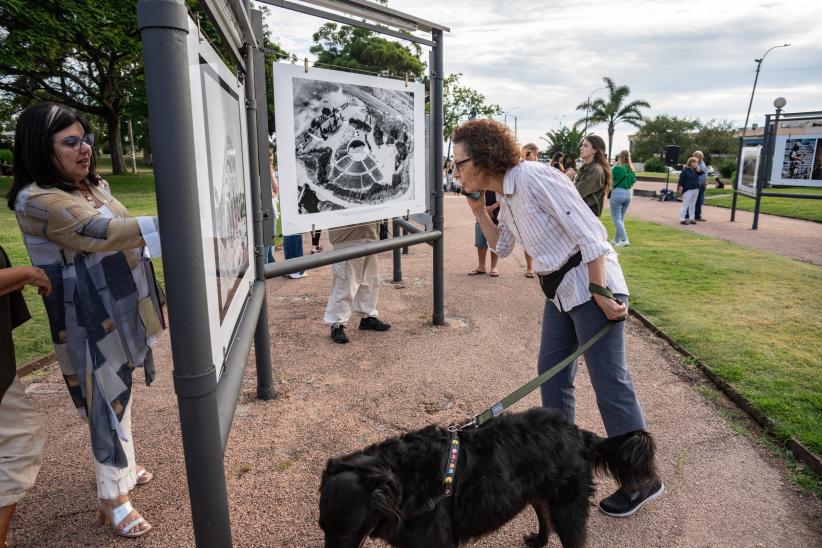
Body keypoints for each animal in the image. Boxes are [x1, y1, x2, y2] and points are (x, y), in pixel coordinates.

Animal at [318, 406, 652, 548]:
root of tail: (582, 434)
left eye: (347, 533)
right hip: (537, 492)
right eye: (322, 527)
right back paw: (538, 541)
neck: (404, 479)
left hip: (567, 508)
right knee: (543, 516)